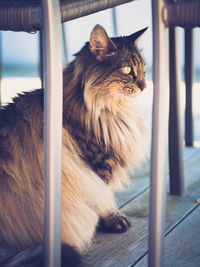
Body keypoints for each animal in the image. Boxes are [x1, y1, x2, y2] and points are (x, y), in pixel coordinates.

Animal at [0, 24, 147, 266]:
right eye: (127, 70)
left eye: (143, 69)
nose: (144, 86)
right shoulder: (96, 165)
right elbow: (105, 197)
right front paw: (113, 220)